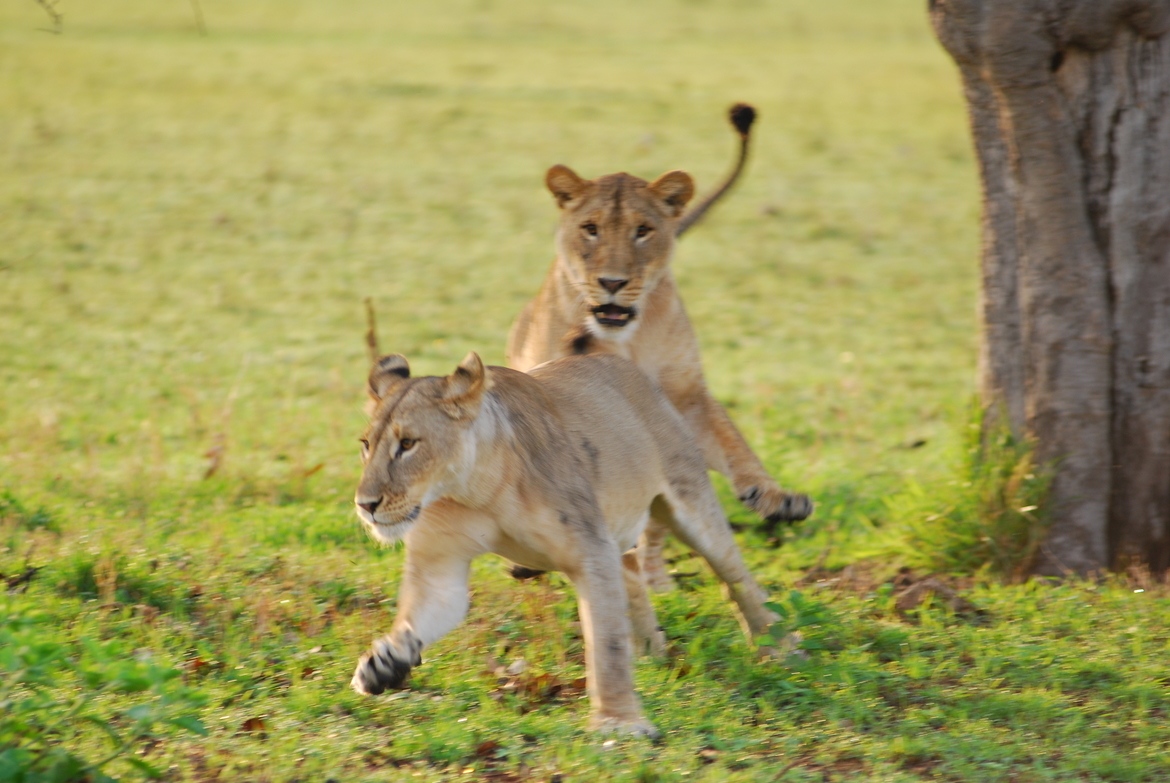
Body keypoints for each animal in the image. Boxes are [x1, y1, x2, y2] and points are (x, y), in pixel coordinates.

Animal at [349, 351, 778, 737]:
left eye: (408, 444)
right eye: (366, 444)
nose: (365, 505)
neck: (478, 490)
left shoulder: (591, 550)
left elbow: (606, 645)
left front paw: (619, 724)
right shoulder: (440, 568)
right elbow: (420, 616)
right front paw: (383, 664)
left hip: (689, 499)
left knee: (736, 577)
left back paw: (777, 648)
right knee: (632, 576)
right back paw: (649, 652)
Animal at [506, 105, 812, 589]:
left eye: (643, 231)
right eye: (590, 229)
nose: (612, 283)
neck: (622, 339)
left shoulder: (683, 397)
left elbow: (733, 442)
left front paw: (776, 498)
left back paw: (656, 581)